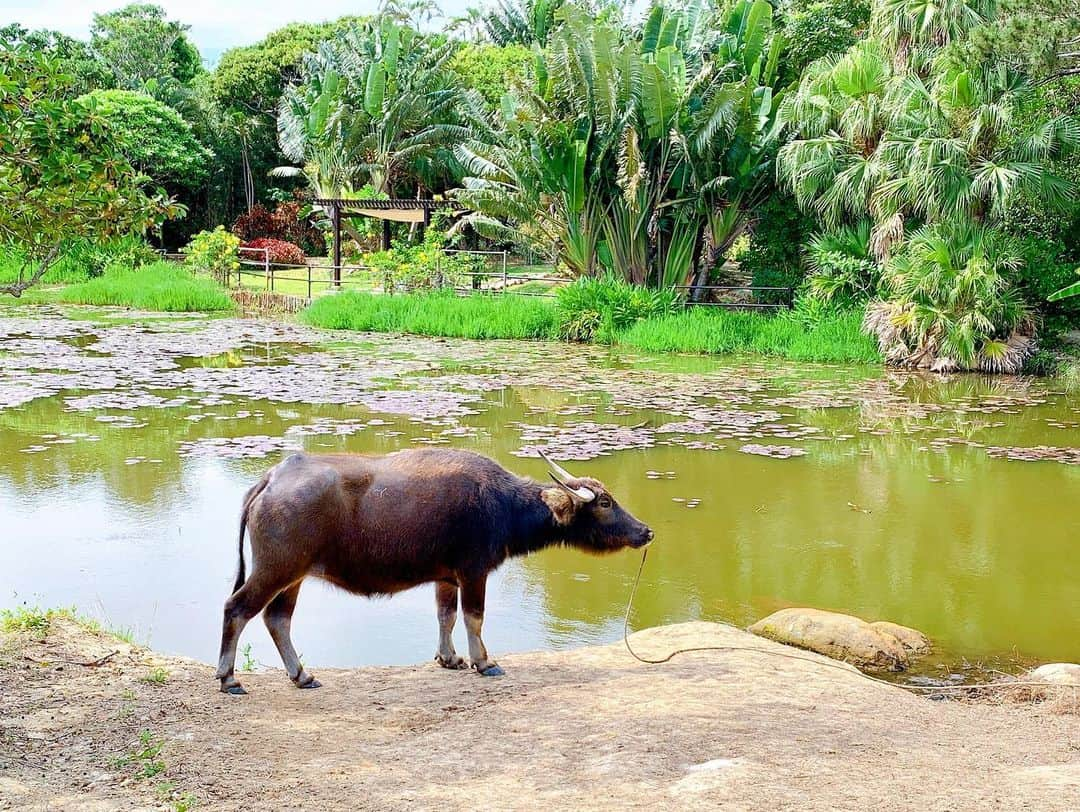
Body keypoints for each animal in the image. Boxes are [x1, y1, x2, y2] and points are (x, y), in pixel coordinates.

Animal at [214, 447, 643, 695]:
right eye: (605, 502)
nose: (646, 531)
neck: (503, 504)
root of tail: (271, 480)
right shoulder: (473, 571)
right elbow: (473, 617)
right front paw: (484, 662)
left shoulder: (445, 576)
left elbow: (445, 615)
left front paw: (449, 658)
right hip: (277, 568)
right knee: (237, 609)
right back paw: (229, 678)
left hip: (294, 575)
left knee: (277, 618)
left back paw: (301, 675)